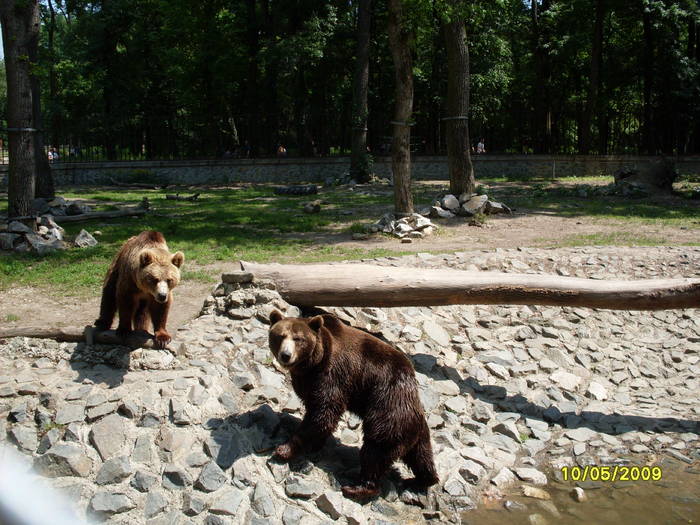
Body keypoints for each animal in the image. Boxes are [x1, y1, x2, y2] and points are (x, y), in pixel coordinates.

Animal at [268, 310, 438, 502]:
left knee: (376, 450)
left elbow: (323, 412)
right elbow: (317, 411)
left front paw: (285, 449)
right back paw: (420, 480)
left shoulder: (333, 374)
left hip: (389, 410)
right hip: (415, 431)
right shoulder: (309, 381)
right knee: (421, 457)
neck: (313, 363)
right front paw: (315, 444)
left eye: (298, 339)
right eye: (280, 336)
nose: (286, 355)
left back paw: (357, 488)